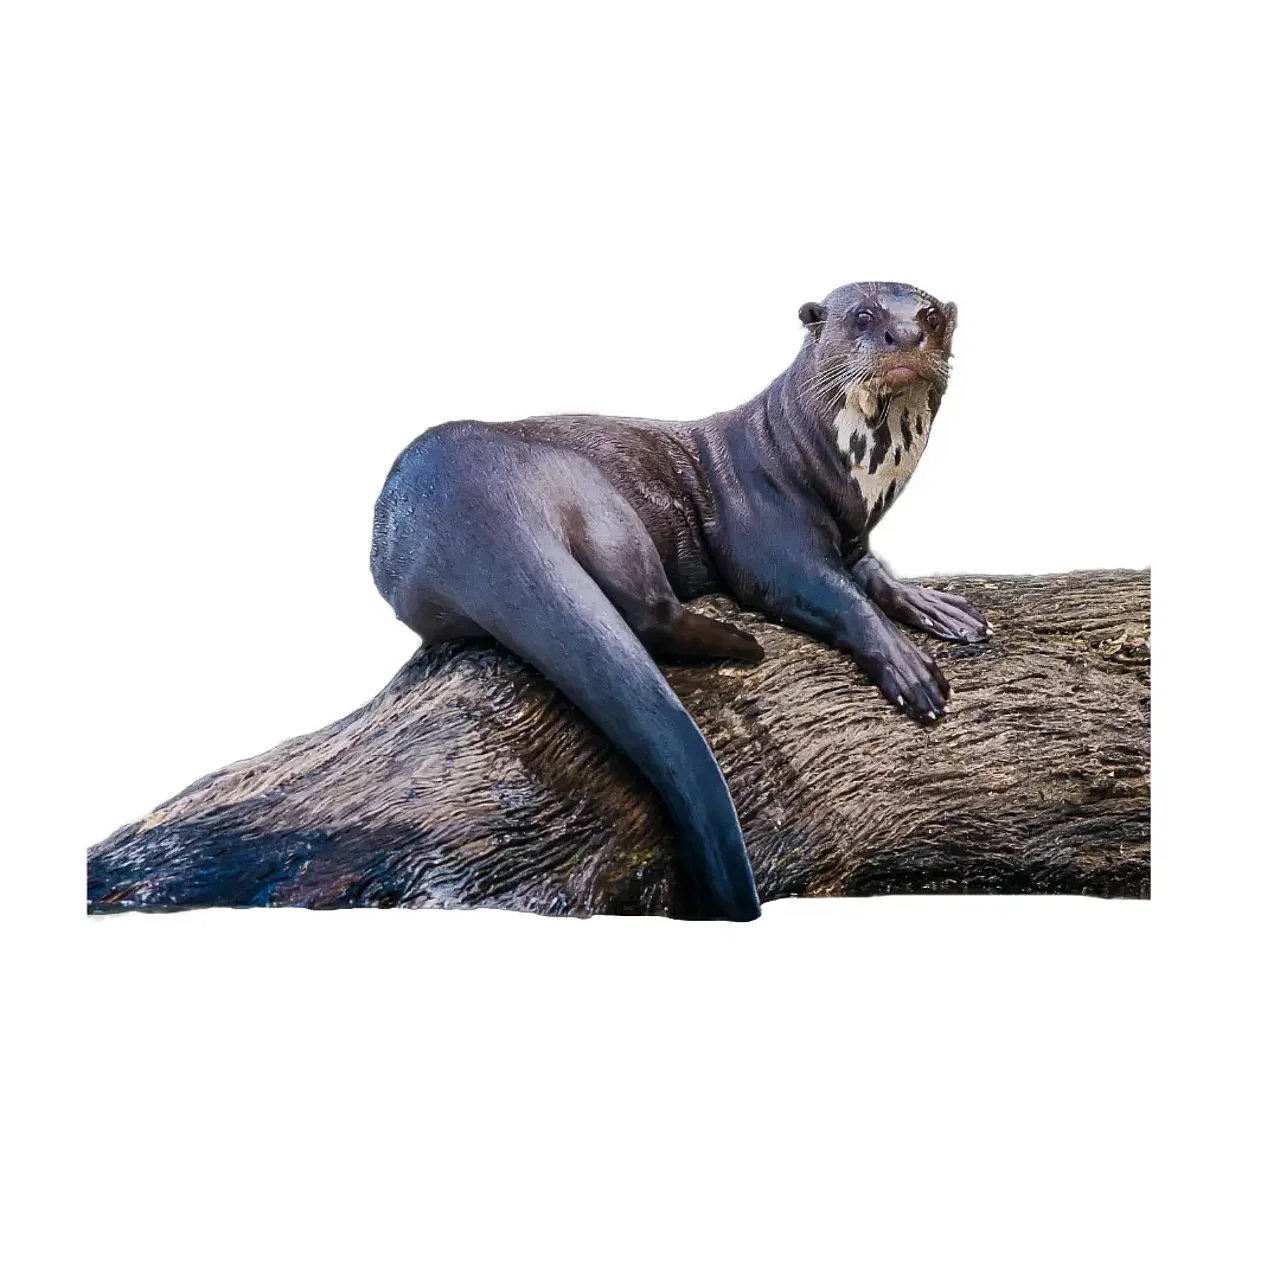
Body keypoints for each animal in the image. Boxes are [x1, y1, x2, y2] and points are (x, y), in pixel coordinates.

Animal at [372, 282, 990, 921]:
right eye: (863, 316)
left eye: (931, 316)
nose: (906, 334)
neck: (814, 461)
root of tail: (464, 505)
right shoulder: (767, 536)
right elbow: (835, 595)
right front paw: (909, 668)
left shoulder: (853, 539)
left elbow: (875, 576)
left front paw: (938, 606)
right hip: (591, 492)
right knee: (648, 611)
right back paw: (744, 645)